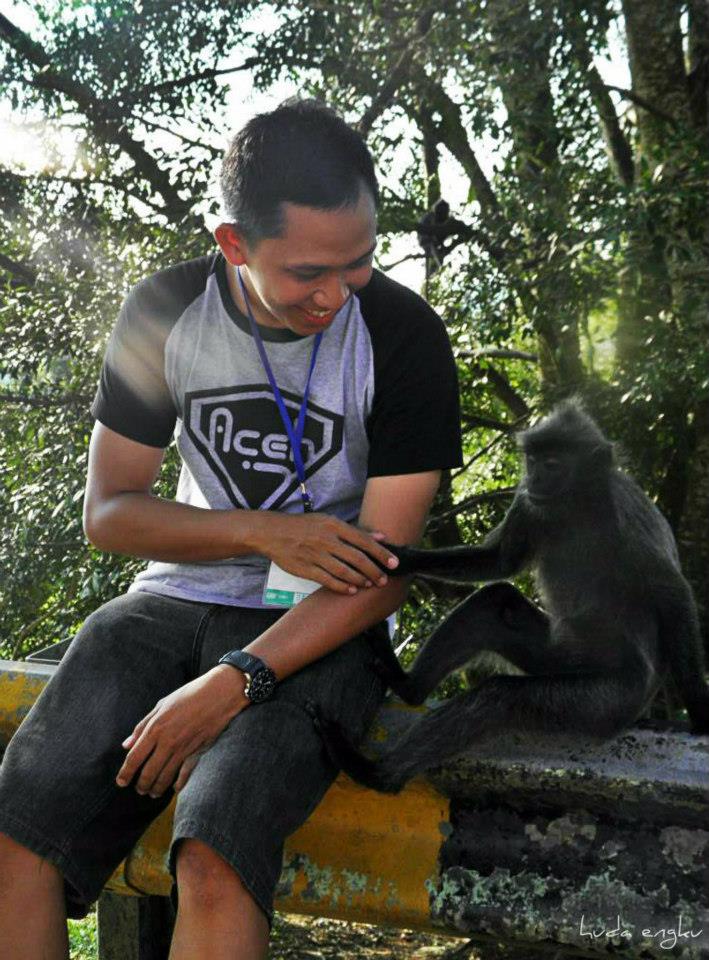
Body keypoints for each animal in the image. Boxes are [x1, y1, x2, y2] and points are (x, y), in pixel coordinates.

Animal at [318, 400, 708, 796]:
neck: (575, 505)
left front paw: (700, 716)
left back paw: (376, 775)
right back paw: (408, 688)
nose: (534, 479)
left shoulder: (624, 511)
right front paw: (402, 560)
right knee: (494, 601)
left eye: (552, 464)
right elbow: (499, 562)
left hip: (608, 696)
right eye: (533, 461)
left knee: (499, 697)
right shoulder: (527, 502)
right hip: (554, 656)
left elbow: (672, 592)